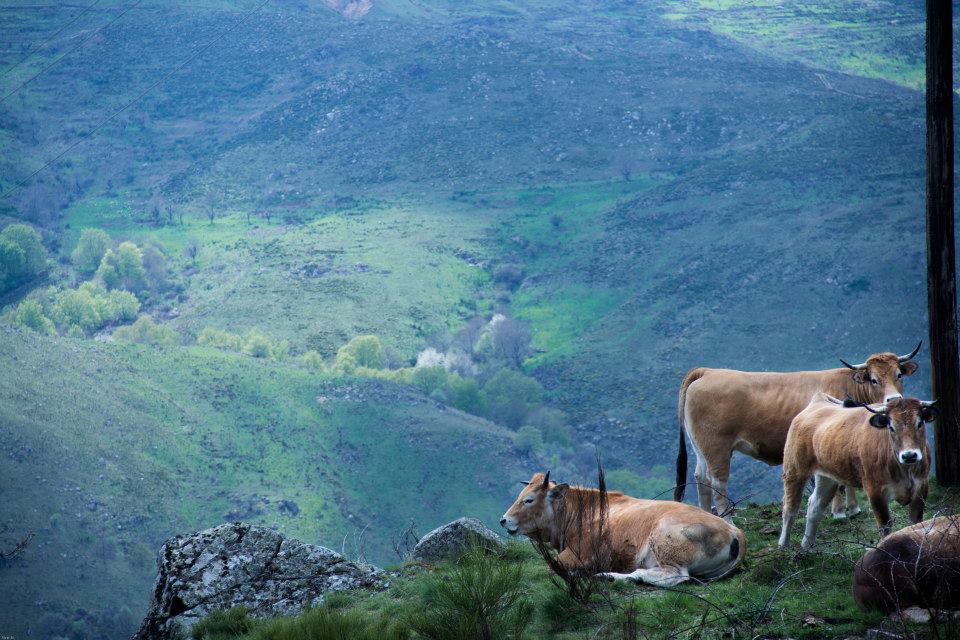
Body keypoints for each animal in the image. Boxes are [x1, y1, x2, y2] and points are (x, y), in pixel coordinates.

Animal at [498, 470, 748, 584]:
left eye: (529, 499)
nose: (503, 520)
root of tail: (735, 531)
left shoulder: (580, 553)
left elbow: (552, 568)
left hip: (665, 540)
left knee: (674, 576)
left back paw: (608, 576)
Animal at [672, 342, 920, 516]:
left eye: (898, 374)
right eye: (874, 379)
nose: (894, 399)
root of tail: (708, 371)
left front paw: (853, 509)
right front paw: (840, 512)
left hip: (701, 448)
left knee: (701, 478)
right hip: (717, 448)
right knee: (717, 483)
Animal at [776, 396, 932, 552]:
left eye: (919, 423)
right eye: (891, 427)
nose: (909, 455)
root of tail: (817, 402)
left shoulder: (921, 488)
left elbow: (916, 524)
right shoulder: (875, 492)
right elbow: (885, 528)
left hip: (827, 477)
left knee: (815, 505)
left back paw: (808, 545)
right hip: (794, 471)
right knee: (790, 508)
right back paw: (783, 545)